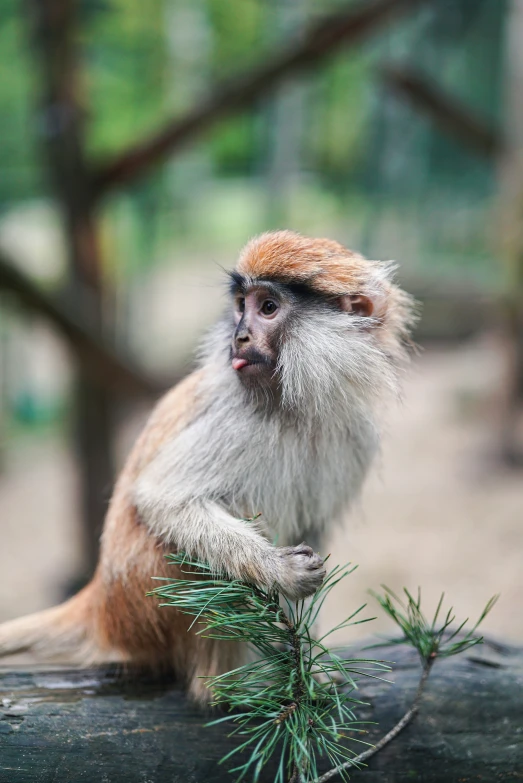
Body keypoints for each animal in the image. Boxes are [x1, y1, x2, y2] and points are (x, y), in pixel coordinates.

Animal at [0, 230, 416, 700]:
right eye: (240, 305)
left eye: (267, 307)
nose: (239, 336)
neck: (297, 404)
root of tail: (103, 607)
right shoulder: (236, 419)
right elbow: (162, 500)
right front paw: (282, 573)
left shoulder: (356, 434)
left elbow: (314, 529)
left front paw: (312, 666)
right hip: (149, 602)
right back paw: (226, 686)